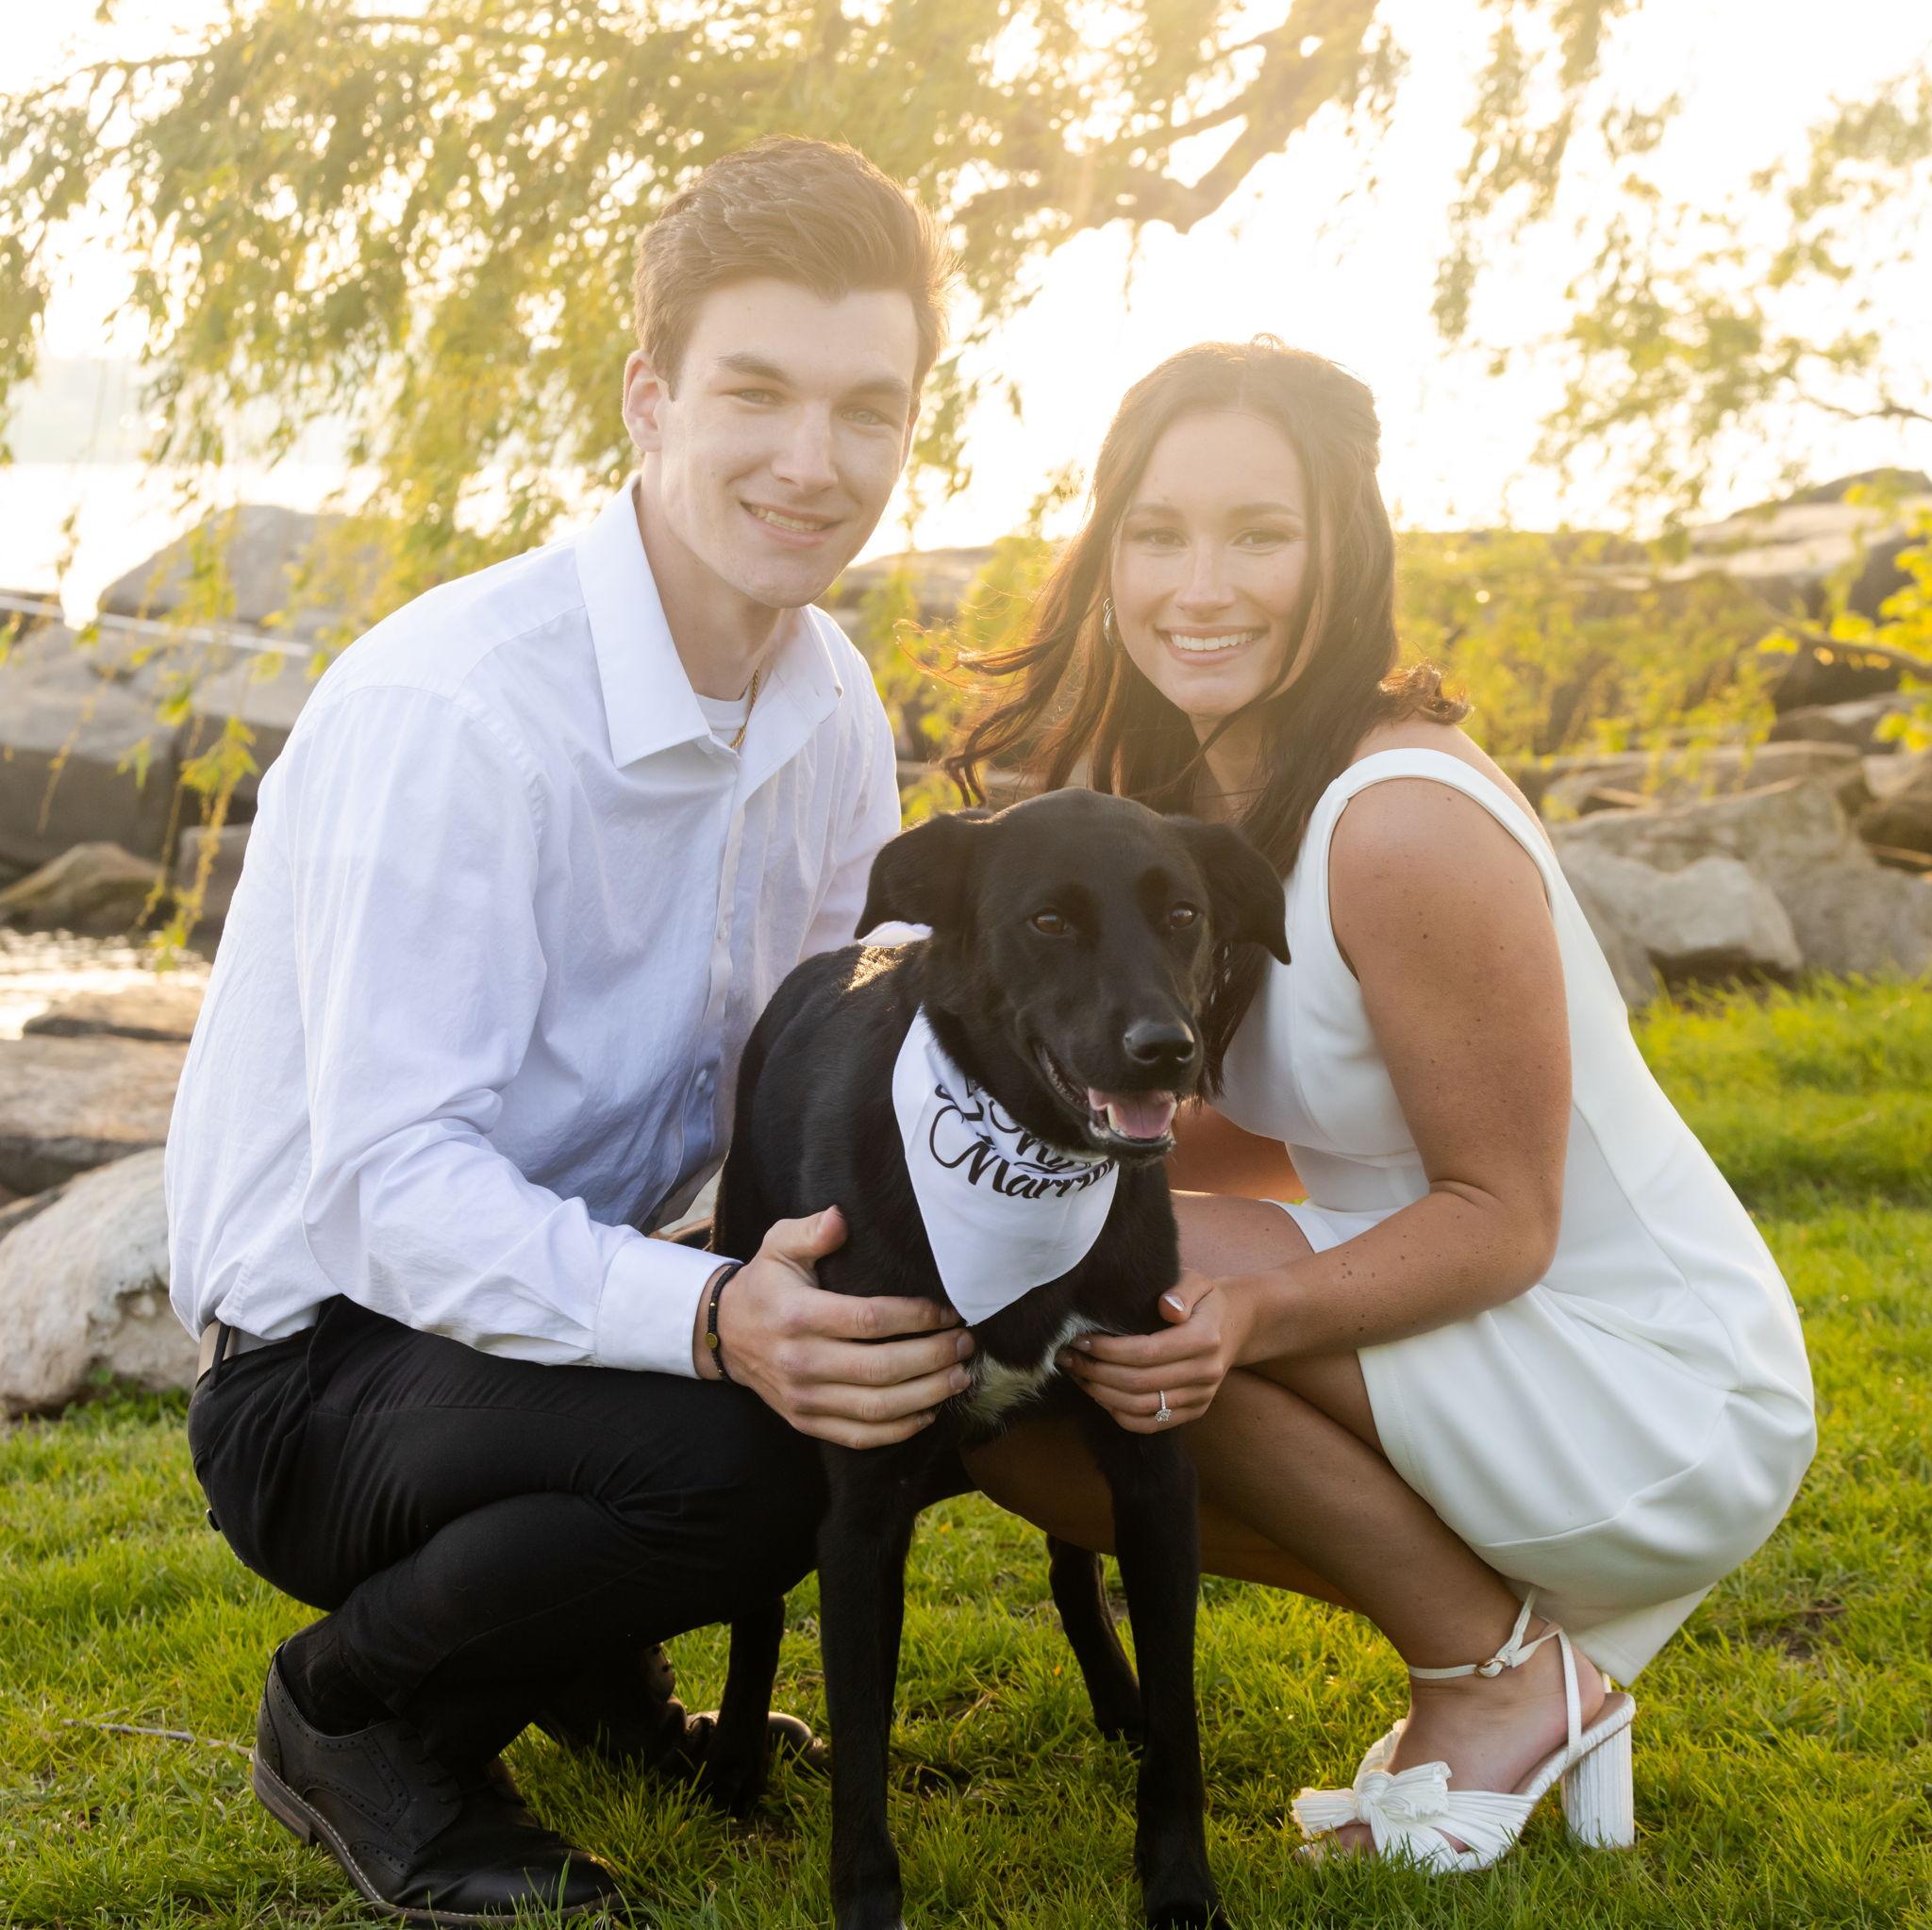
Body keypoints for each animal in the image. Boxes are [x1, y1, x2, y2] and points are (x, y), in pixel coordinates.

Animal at [706, 788, 1288, 1930]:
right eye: (1048, 922)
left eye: (1185, 916)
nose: (1165, 1048)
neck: (1024, 1165)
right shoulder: (863, 1506)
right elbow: (861, 1757)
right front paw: (866, 1906)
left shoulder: (1155, 1465)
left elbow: (1183, 1720)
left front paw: (1179, 1884)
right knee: (756, 1602)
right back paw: (733, 1768)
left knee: (1071, 1567)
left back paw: (1119, 1705)